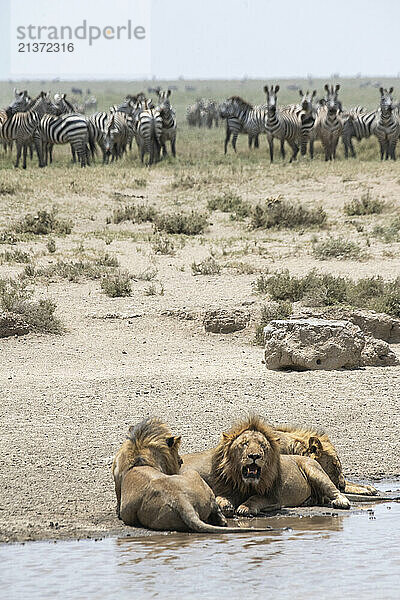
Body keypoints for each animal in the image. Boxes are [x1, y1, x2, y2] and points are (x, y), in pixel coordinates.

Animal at [181, 418, 350, 516]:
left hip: (316, 473)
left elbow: (256, 499)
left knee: (332, 491)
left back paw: (340, 501)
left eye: (262, 445)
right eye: (335, 465)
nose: (343, 485)